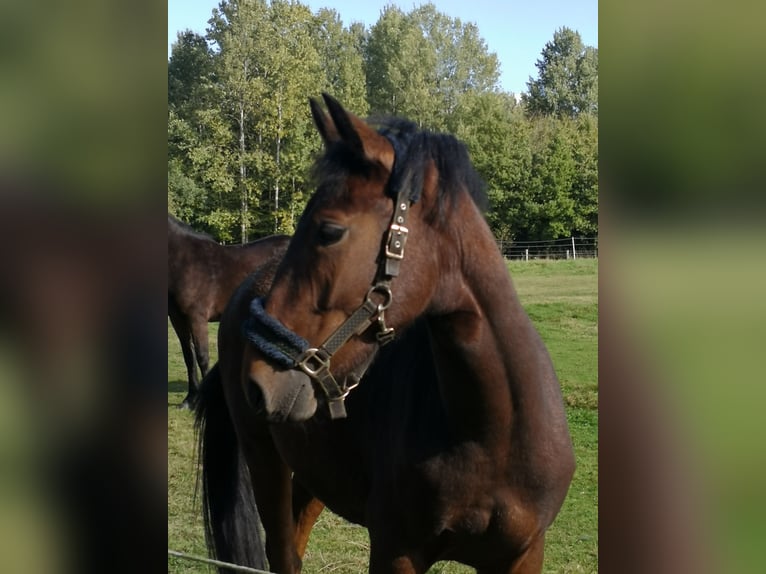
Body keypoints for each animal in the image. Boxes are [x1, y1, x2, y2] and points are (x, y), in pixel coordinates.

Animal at [167, 214, 289, 408]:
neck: (184, 261)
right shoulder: (177, 319)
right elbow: (189, 357)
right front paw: (189, 399)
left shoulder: (197, 318)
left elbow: (202, 357)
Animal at [196, 94, 575, 573]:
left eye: (330, 230)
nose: (259, 381)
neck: (495, 433)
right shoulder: (395, 550)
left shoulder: (523, 554)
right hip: (264, 458)